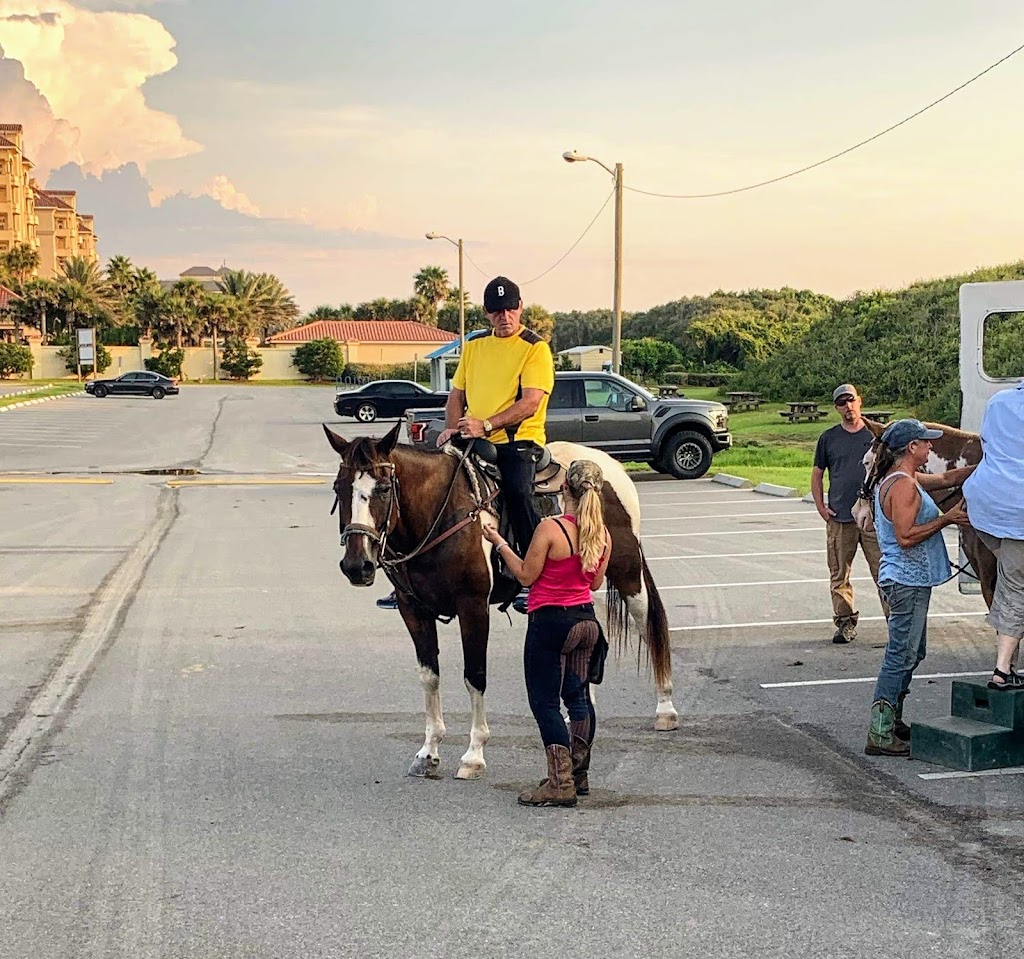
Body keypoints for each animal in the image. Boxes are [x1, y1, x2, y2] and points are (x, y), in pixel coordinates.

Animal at [323, 423, 675, 781]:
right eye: (339, 487)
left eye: (382, 489)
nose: (357, 565)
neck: (440, 512)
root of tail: (609, 465)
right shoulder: (413, 610)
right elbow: (429, 676)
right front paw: (429, 751)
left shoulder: (473, 607)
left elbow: (474, 675)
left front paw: (474, 754)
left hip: (628, 573)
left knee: (647, 626)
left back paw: (665, 708)